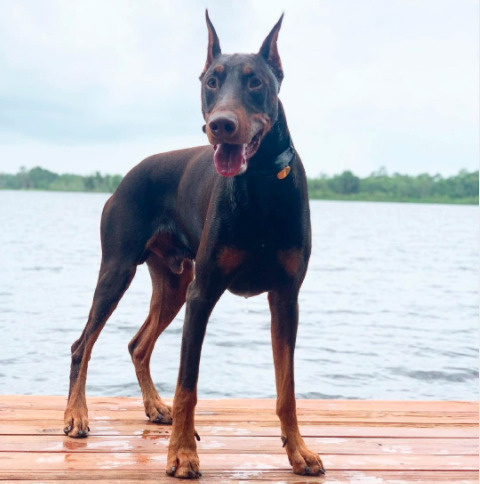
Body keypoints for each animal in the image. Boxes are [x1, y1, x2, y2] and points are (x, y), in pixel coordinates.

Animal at [63, 9, 324, 478]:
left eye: (255, 82)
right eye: (211, 81)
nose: (221, 124)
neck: (259, 184)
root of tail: (125, 177)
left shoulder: (286, 297)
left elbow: (287, 389)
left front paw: (299, 452)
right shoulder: (203, 293)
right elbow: (188, 385)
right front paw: (182, 454)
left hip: (174, 282)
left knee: (137, 344)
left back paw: (154, 407)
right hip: (119, 269)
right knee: (82, 344)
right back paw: (76, 415)